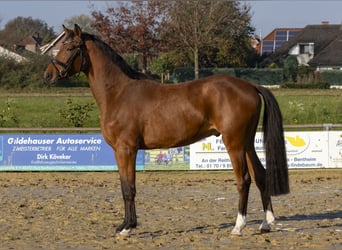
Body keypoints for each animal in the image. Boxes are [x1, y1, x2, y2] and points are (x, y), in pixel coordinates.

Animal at [42, 23, 288, 236]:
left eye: (70, 48)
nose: (48, 75)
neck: (118, 93)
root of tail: (250, 86)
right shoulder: (122, 151)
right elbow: (125, 186)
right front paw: (125, 224)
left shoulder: (126, 150)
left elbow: (128, 189)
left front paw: (127, 227)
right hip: (247, 143)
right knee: (260, 175)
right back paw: (266, 223)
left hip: (234, 143)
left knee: (244, 180)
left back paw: (238, 226)